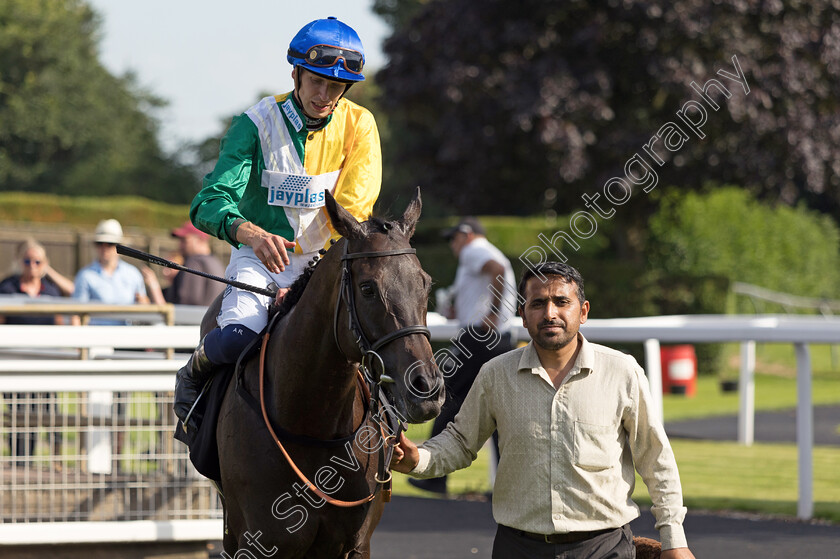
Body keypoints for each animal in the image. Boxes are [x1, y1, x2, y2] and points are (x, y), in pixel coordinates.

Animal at [210, 189, 446, 559]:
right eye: (368, 288)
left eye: (425, 283)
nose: (426, 388)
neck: (313, 425)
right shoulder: (259, 542)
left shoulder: (357, 545)